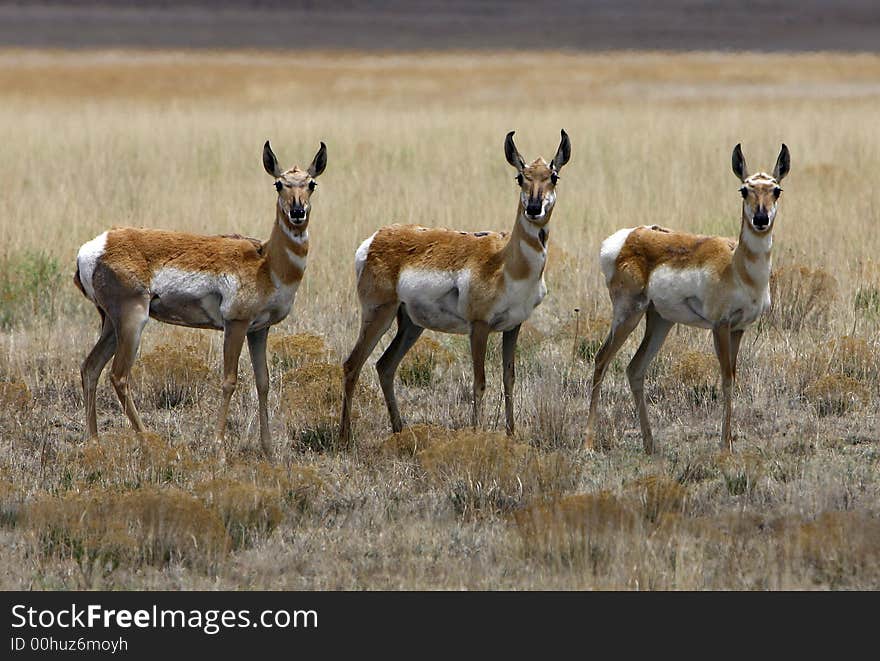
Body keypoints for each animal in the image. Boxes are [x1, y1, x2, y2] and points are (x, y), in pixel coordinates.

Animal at [75, 139, 326, 458]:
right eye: (279, 184)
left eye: (311, 183)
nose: (297, 212)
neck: (266, 261)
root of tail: (94, 246)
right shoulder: (236, 325)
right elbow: (229, 380)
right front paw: (218, 446)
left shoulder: (259, 330)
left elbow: (263, 382)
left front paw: (268, 449)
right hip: (132, 321)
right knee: (119, 376)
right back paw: (150, 442)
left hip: (111, 324)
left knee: (90, 368)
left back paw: (95, 443)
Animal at [336, 129, 572, 440]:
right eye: (521, 177)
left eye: (553, 176)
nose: (533, 208)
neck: (506, 261)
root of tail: (375, 238)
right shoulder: (479, 327)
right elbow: (479, 381)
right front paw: (477, 433)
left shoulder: (513, 326)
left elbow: (509, 378)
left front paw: (511, 434)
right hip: (379, 314)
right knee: (352, 364)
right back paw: (345, 437)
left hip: (411, 324)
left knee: (384, 365)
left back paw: (400, 430)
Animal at [584, 143, 792, 454]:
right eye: (744, 189)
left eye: (776, 190)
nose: (761, 219)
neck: (737, 267)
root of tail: (625, 238)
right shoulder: (720, 326)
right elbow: (726, 379)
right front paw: (725, 446)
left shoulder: (739, 328)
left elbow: (733, 378)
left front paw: (729, 442)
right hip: (628, 315)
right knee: (601, 359)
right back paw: (588, 442)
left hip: (660, 322)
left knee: (635, 368)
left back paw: (650, 445)